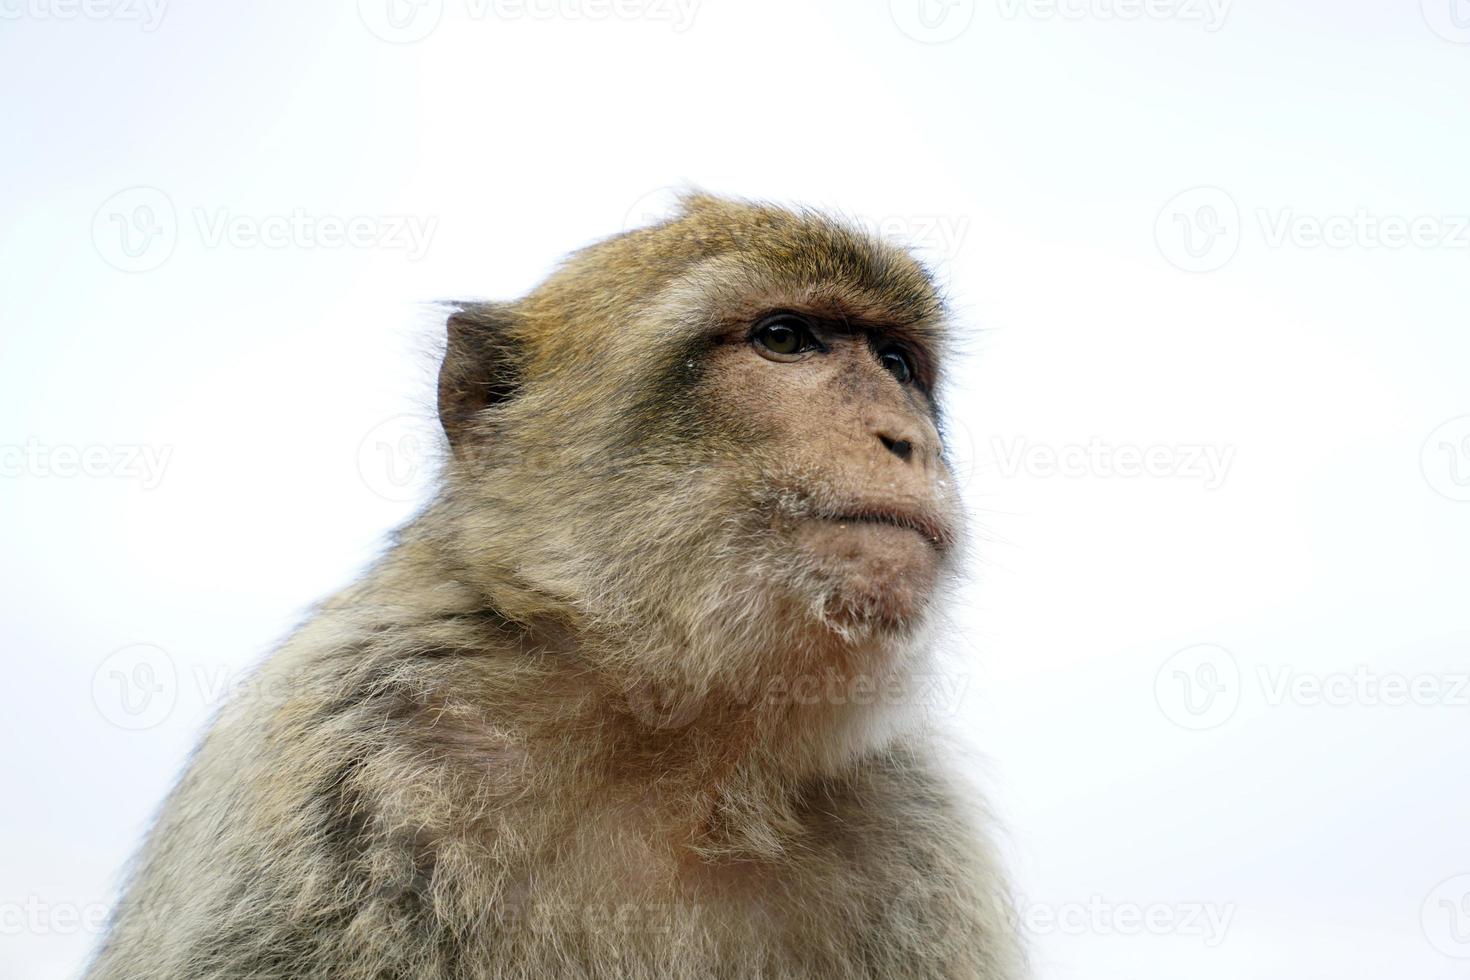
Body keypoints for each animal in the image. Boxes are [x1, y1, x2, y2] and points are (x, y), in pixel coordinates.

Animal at [80, 193, 1023, 980]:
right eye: (787, 338)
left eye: (898, 362)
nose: (906, 440)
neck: (671, 728)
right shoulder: (347, 765)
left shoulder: (917, 834)